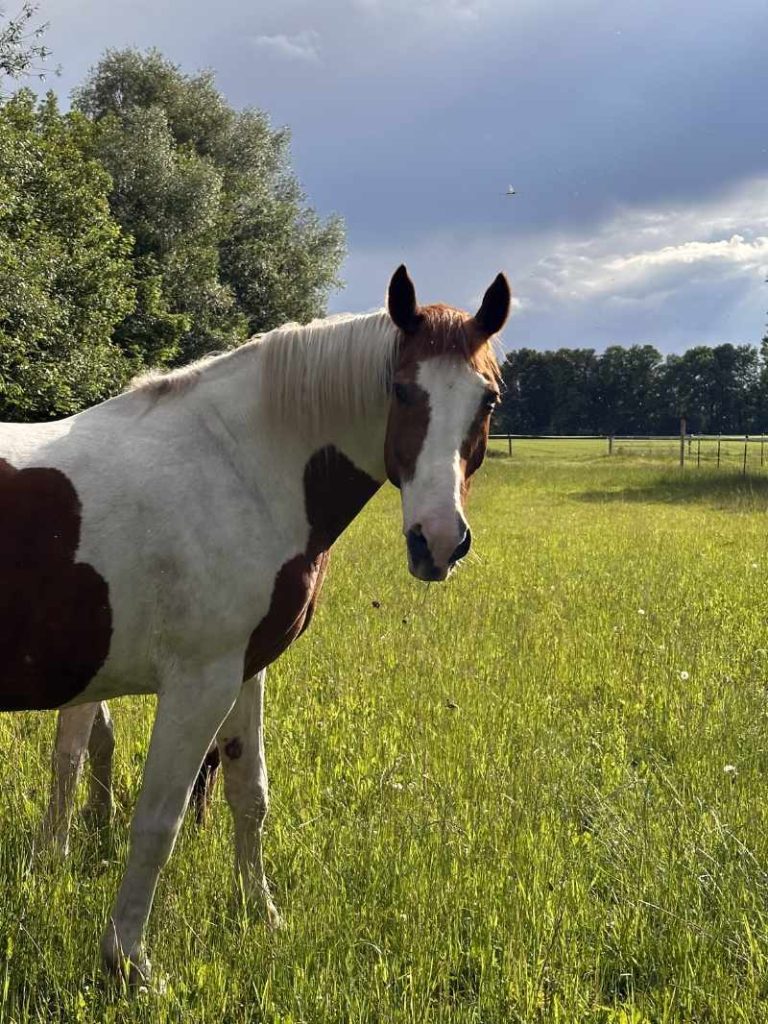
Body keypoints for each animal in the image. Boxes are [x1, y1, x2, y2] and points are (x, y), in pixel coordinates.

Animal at [0, 265, 510, 983]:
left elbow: (249, 793)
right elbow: (157, 820)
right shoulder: (198, 684)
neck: (238, 468)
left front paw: (260, 913)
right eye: (401, 389)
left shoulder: (243, 671)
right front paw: (130, 962)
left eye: (486, 401)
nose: (436, 542)